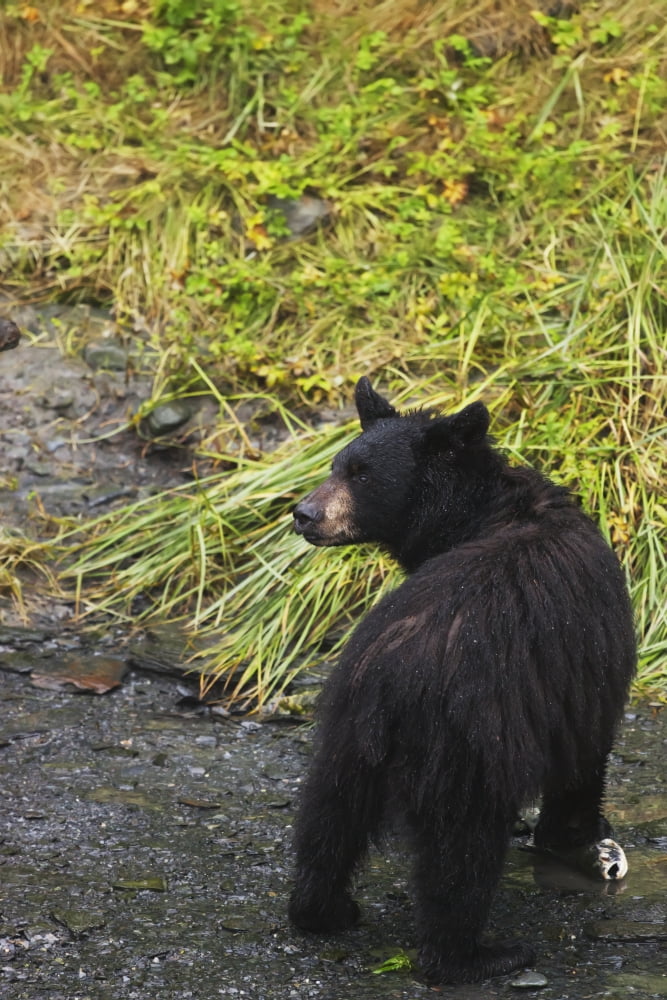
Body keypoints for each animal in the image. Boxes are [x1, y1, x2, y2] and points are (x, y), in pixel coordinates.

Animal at [288, 377, 636, 985]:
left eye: (359, 473)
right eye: (341, 466)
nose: (304, 514)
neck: (478, 513)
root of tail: (389, 676)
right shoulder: (582, 665)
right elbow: (585, 748)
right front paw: (579, 836)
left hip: (346, 733)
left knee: (328, 817)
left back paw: (324, 910)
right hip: (465, 744)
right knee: (461, 853)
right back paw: (479, 955)